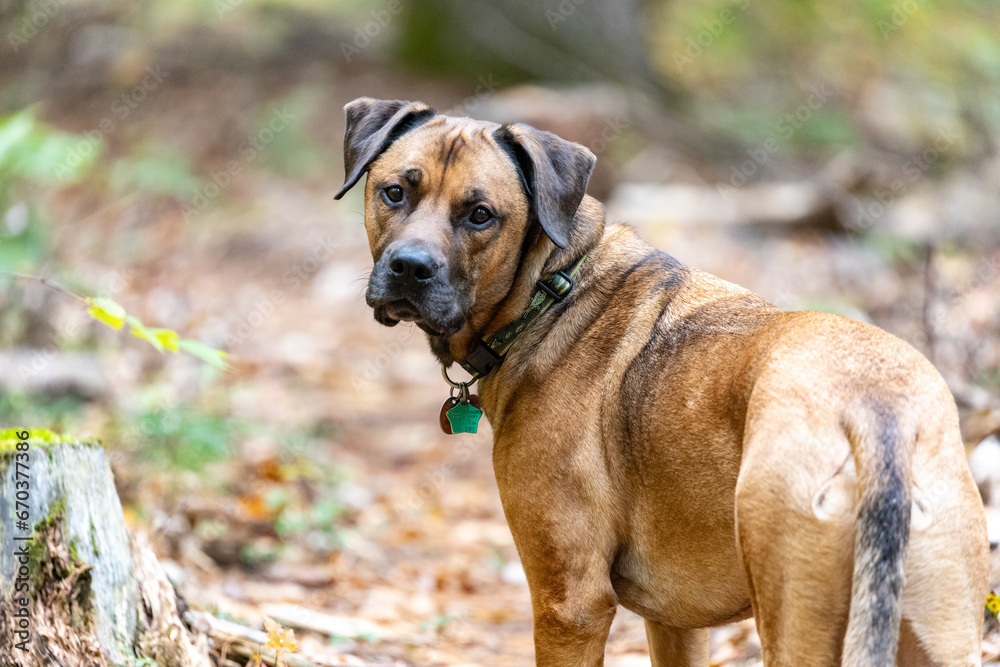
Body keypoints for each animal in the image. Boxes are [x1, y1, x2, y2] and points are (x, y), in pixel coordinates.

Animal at [332, 96, 988, 664]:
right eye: (395, 192)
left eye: (480, 215)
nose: (409, 268)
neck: (553, 285)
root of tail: (877, 411)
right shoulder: (675, 622)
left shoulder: (571, 602)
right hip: (940, 631)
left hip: (794, 620)